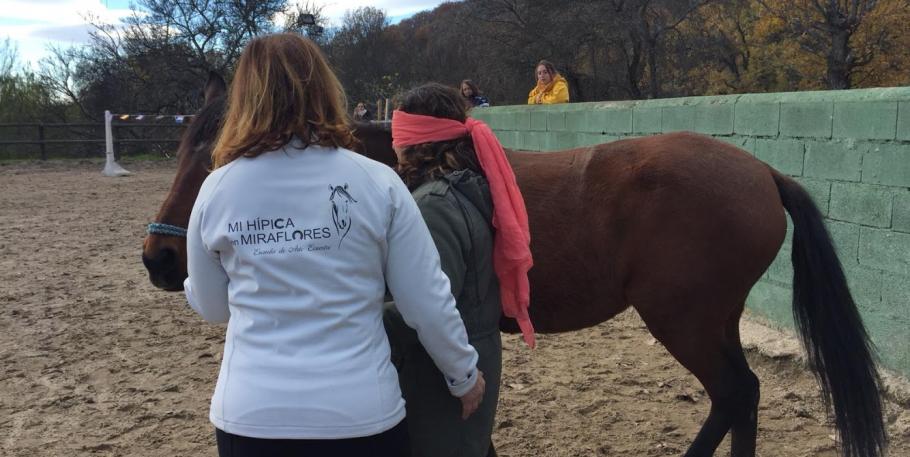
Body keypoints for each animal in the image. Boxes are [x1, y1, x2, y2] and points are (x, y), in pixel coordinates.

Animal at [144, 73, 892, 454]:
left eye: (221, 156)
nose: (159, 257)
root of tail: (763, 172)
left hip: (686, 320)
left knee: (735, 394)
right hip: (712, 321)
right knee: (744, 398)